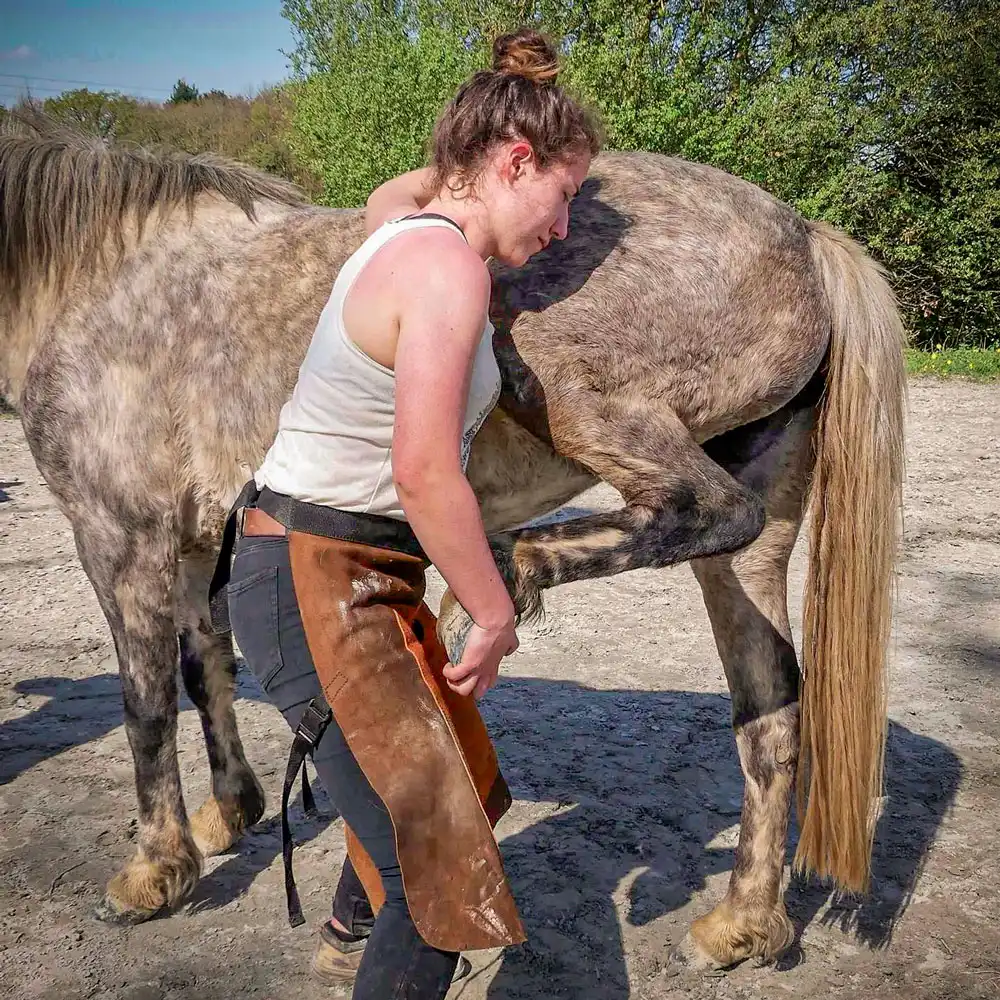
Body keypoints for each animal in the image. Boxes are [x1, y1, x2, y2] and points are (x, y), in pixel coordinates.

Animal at [0, 116, 905, 970]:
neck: (107, 275)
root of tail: (803, 236)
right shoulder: (190, 544)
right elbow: (203, 672)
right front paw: (229, 813)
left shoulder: (119, 535)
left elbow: (145, 705)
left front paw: (154, 871)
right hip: (753, 540)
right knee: (771, 712)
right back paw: (742, 923)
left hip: (582, 396)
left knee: (705, 509)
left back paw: (507, 578)